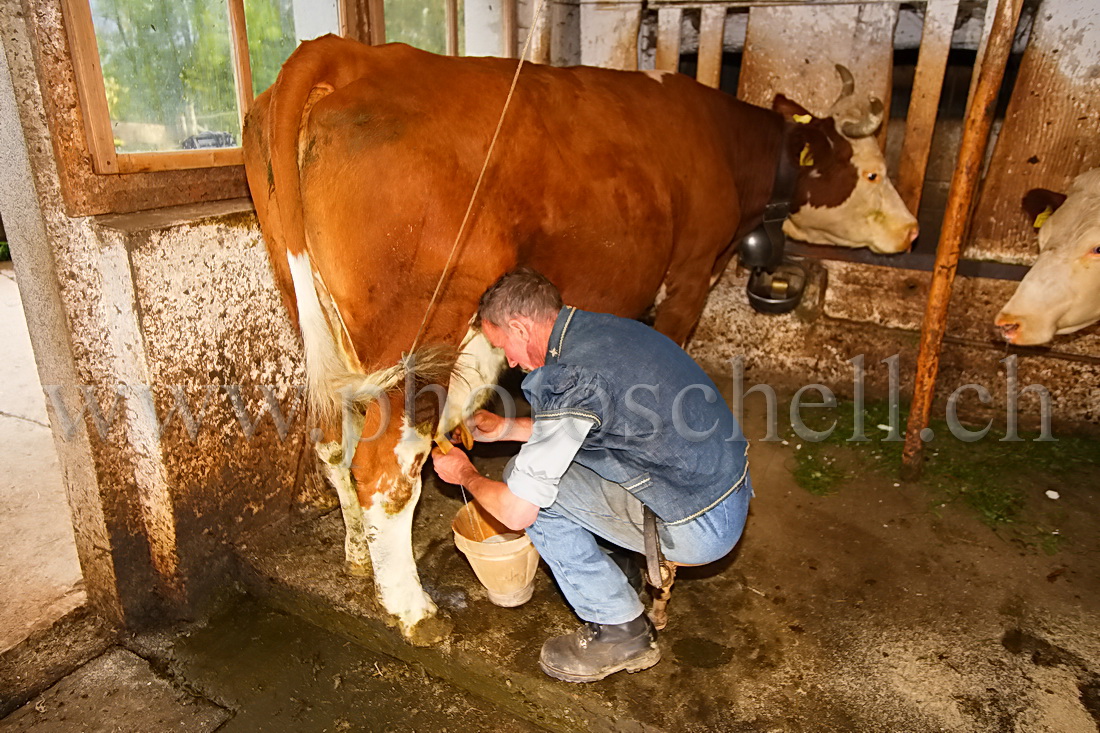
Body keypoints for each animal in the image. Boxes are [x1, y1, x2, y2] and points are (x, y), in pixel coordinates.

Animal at [245, 35, 915, 638]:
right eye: (872, 171)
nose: (910, 231)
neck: (721, 142)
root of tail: (348, 51)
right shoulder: (692, 273)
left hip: (319, 321)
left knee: (332, 442)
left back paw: (359, 559)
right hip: (414, 341)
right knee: (385, 467)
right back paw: (414, 610)